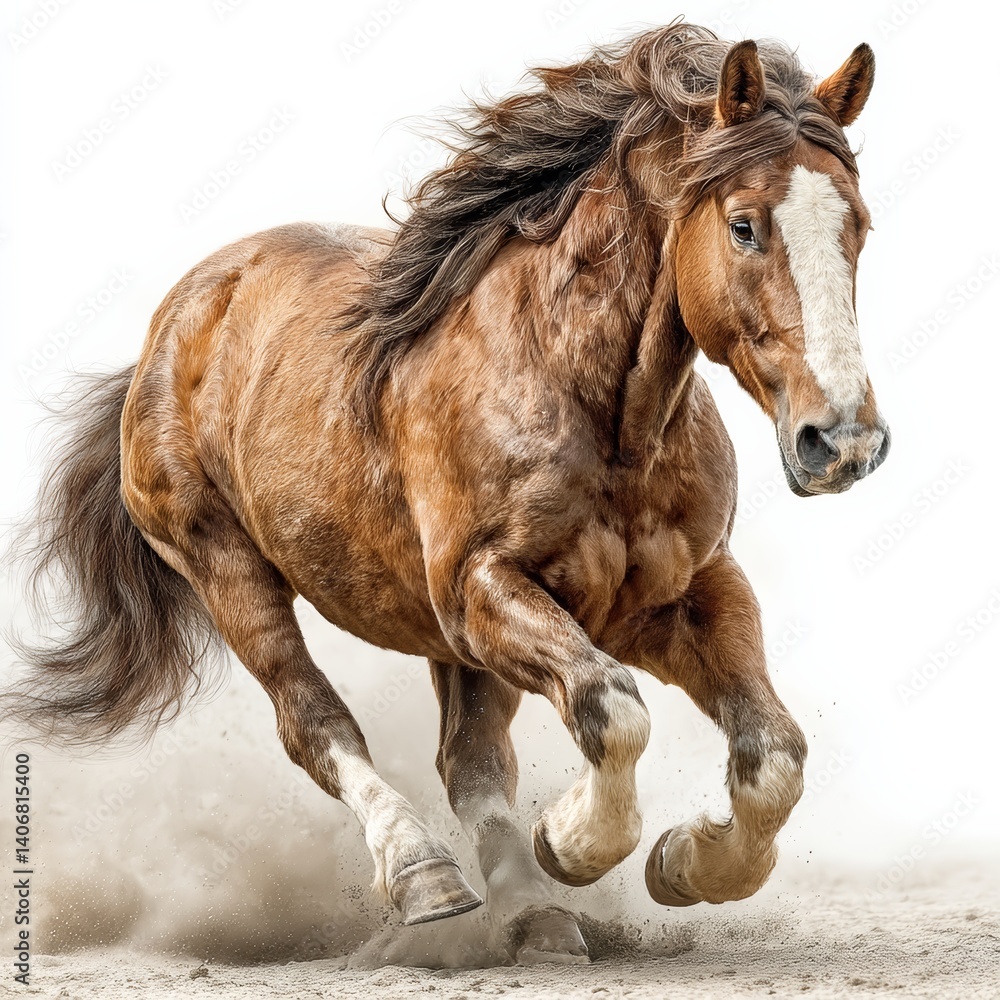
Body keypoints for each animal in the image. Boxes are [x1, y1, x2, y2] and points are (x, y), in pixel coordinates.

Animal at [9, 22, 888, 963]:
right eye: (745, 225)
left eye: (860, 226)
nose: (843, 441)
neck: (594, 409)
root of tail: (173, 324)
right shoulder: (485, 591)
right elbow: (612, 708)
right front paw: (572, 843)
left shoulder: (684, 596)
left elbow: (774, 756)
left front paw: (687, 864)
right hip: (230, 572)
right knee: (317, 724)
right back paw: (425, 875)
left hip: (447, 644)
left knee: (468, 763)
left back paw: (534, 915)